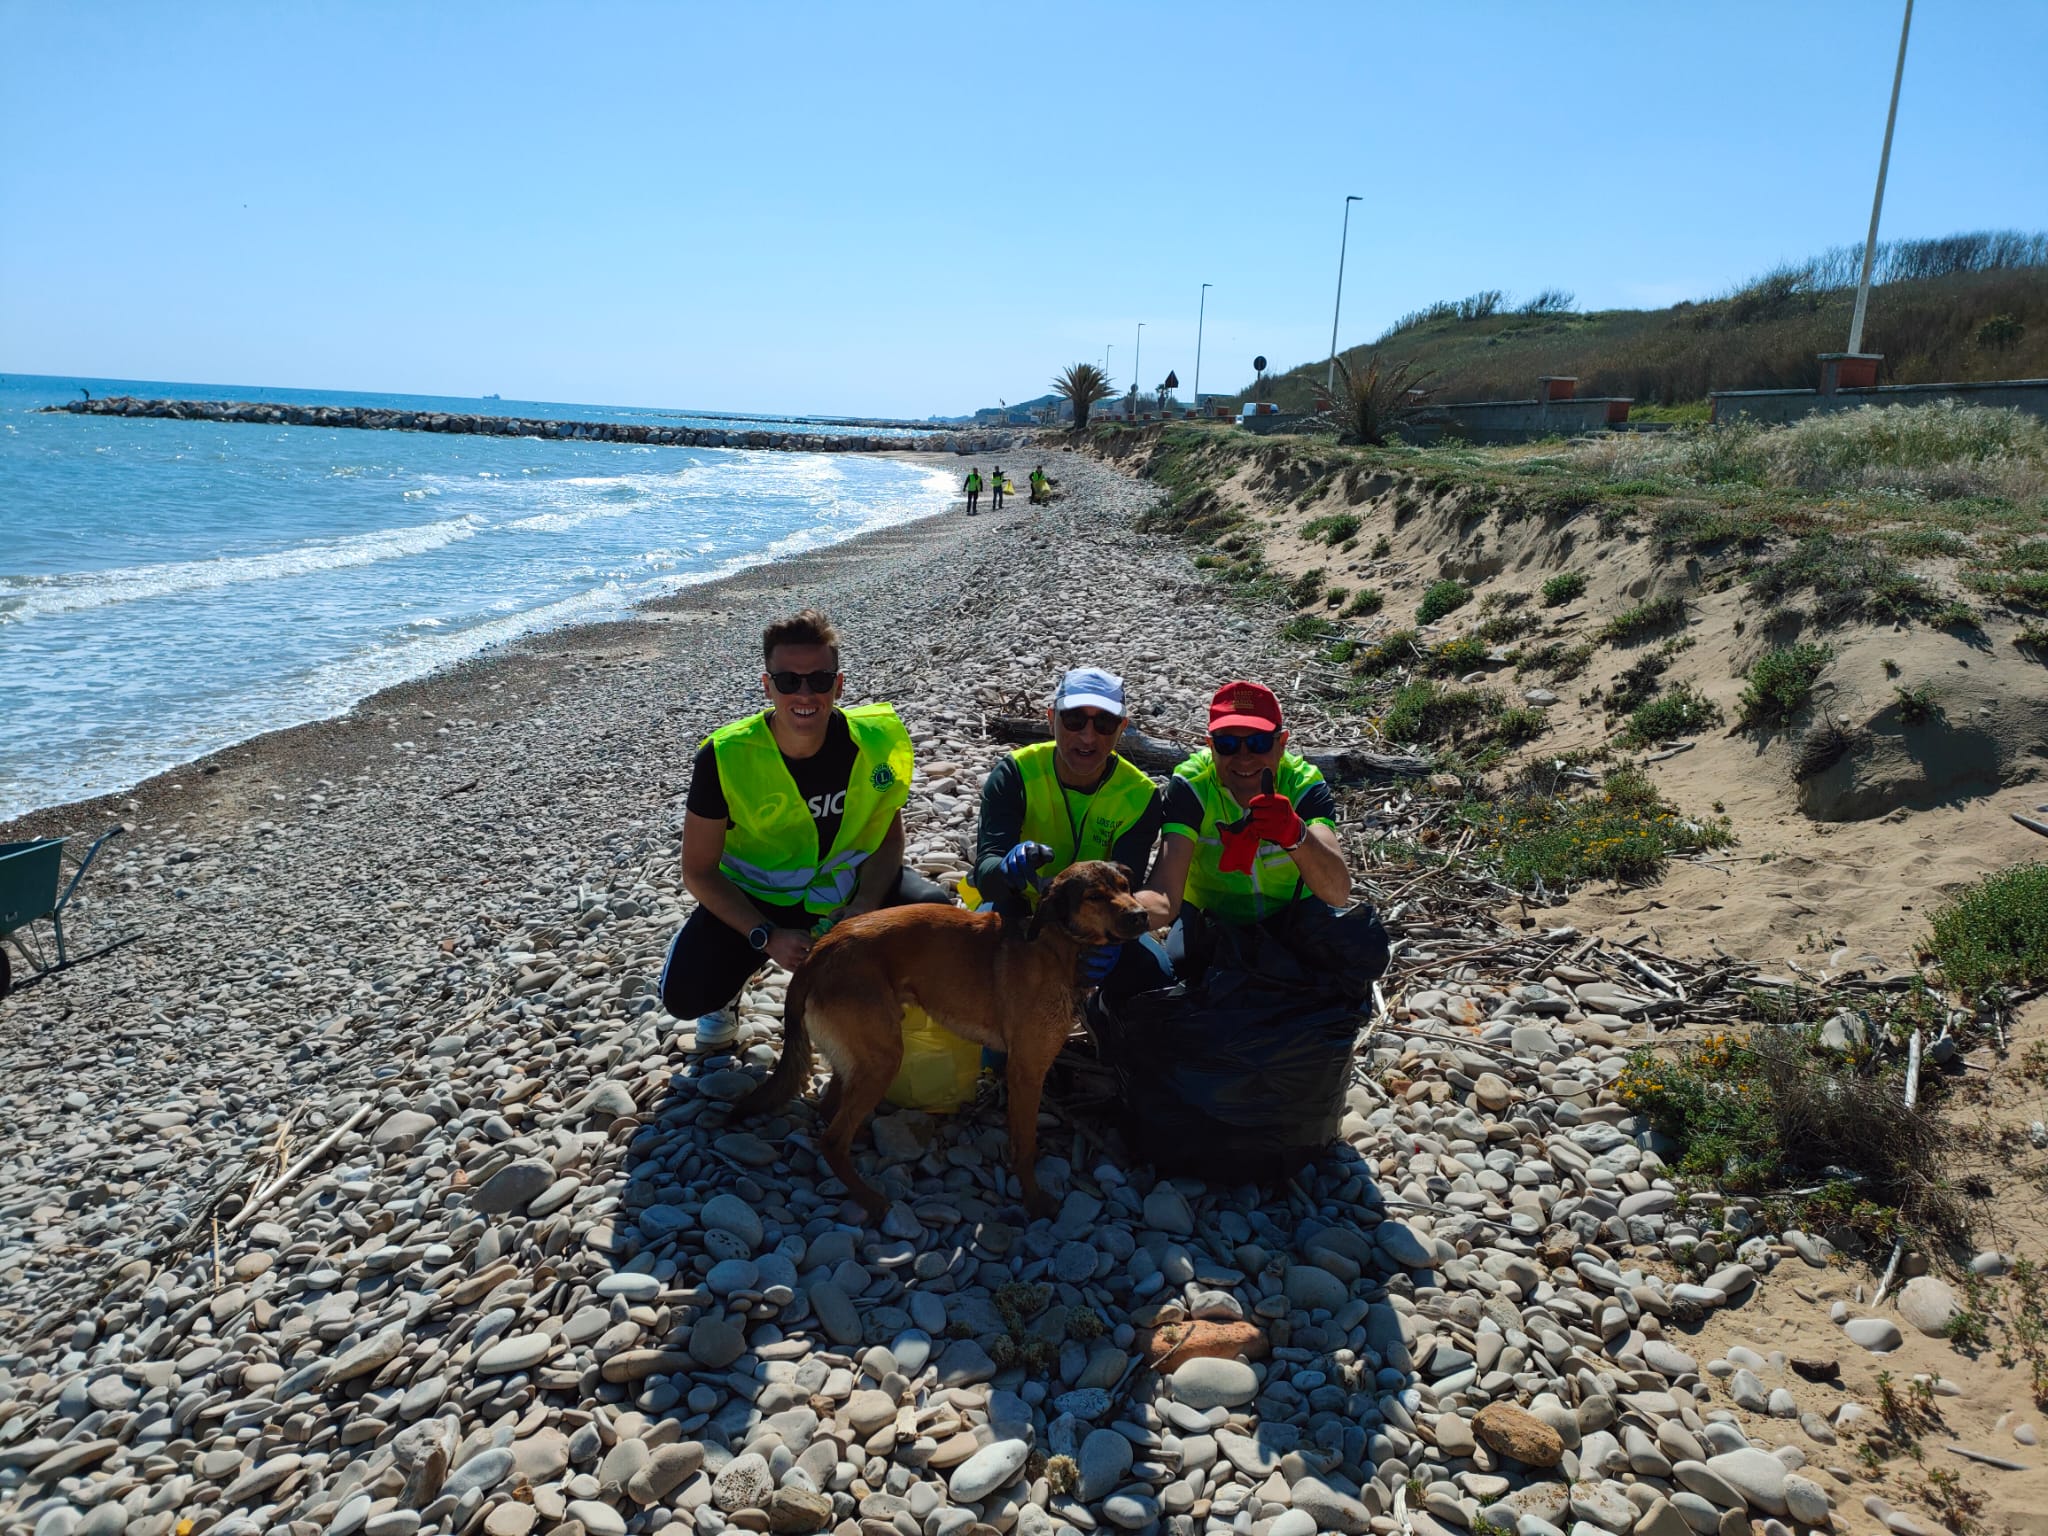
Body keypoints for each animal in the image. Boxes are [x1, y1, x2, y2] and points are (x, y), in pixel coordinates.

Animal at [737, 868, 1155, 1212]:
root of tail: (817, 953)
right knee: (831, 1140)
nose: (1142, 915)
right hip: (883, 1056)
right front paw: (1035, 1201)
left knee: (829, 1111)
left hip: (863, 1051)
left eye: (1125, 886)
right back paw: (872, 1200)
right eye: (1094, 896)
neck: (1057, 945)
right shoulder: (1027, 1070)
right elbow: (1025, 1145)